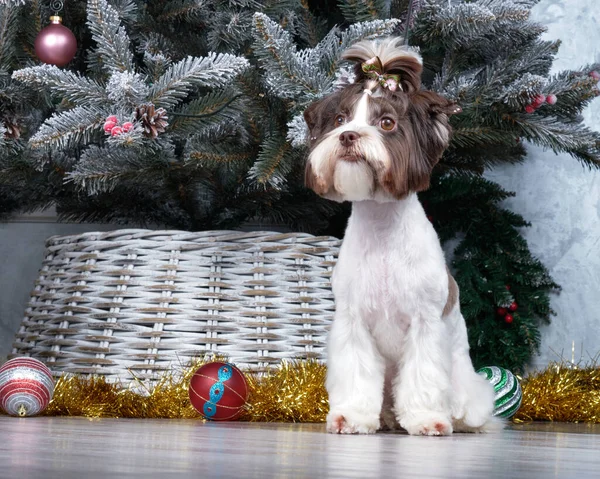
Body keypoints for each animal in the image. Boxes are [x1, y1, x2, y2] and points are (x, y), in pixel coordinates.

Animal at [304, 37, 496, 436]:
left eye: (387, 123)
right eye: (340, 120)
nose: (348, 135)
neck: (382, 227)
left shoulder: (425, 322)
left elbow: (423, 374)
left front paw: (425, 419)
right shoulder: (353, 320)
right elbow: (357, 372)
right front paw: (353, 416)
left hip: (466, 381)